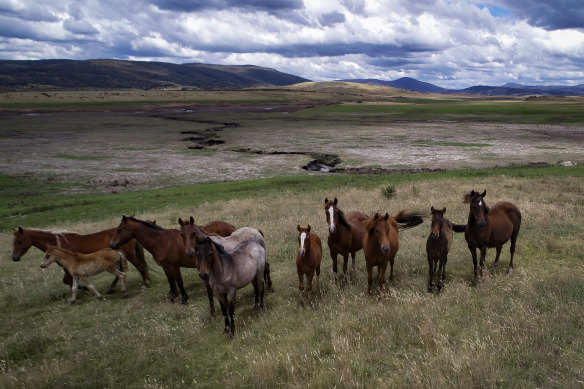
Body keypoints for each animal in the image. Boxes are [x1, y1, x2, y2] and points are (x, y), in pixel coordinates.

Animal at [10, 224, 151, 292]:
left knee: (140, 267)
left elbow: (67, 281)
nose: (14, 257)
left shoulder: (69, 267)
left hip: (129, 256)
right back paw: (111, 288)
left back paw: (145, 284)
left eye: (19, 241)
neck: (59, 244)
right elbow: (67, 281)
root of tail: (132, 233)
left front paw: (83, 288)